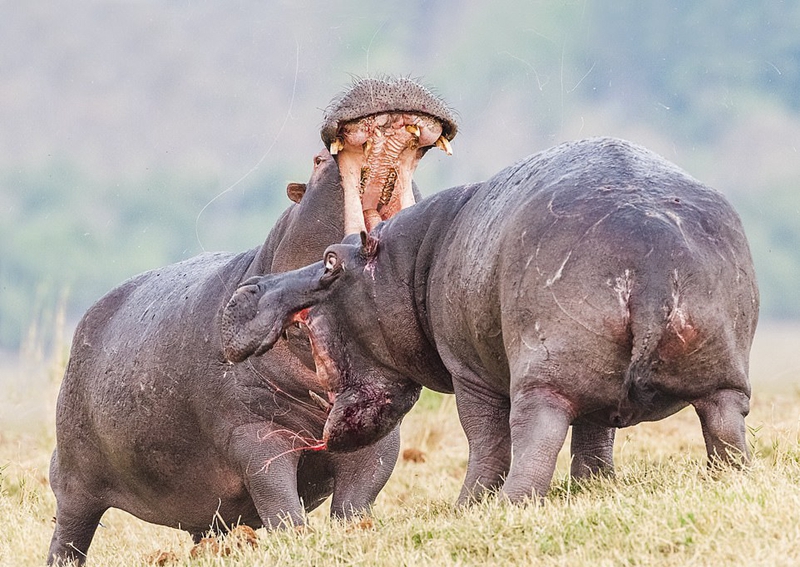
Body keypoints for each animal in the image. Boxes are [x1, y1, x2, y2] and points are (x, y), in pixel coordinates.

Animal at [48, 76, 456, 567]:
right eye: (316, 161)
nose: (386, 79)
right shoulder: (255, 434)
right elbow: (277, 497)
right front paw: (298, 540)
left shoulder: (381, 437)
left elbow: (358, 498)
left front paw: (356, 532)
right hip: (73, 477)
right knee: (70, 532)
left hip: (205, 505)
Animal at [222, 136, 760, 506]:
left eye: (332, 259)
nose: (248, 289)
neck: (408, 262)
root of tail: (650, 264)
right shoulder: (596, 388)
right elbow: (593, 438)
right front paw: (595, 489)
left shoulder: (470, 373)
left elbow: (485, 439)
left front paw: (467, 507)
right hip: (717, 371)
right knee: (724, 427)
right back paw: (730, 479)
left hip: (543, 376)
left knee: (533, 437)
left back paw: (511, 503)